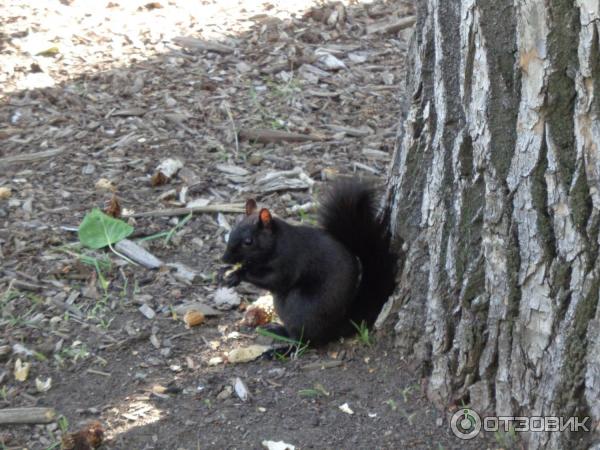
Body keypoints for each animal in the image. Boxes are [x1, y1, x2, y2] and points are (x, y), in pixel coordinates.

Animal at [223, 179, 396, 344]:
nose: (224, 258)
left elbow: (274, 280)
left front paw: (238, 274)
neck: (277, 243)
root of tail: (334, 329)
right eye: (232, 231)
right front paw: (226, 271)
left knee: (304, 340)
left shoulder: (288, 262)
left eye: (248, 242)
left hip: (299, 307)